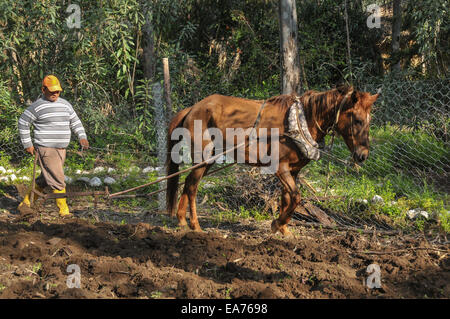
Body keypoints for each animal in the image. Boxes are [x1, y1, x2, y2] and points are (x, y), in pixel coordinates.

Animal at [165, 86, 380, 236]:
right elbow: (296, 196)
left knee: (188, 183)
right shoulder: (280, 167)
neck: (301, 121)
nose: (362, 155)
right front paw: (277, 224)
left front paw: (283, 229)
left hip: (209, 159)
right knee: (192, 186)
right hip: (203, 157)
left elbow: (287, 197)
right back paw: (195, 225)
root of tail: (193, 108)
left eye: (370, 121)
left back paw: (182, 221)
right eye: (358, 120)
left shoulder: (293, 170)